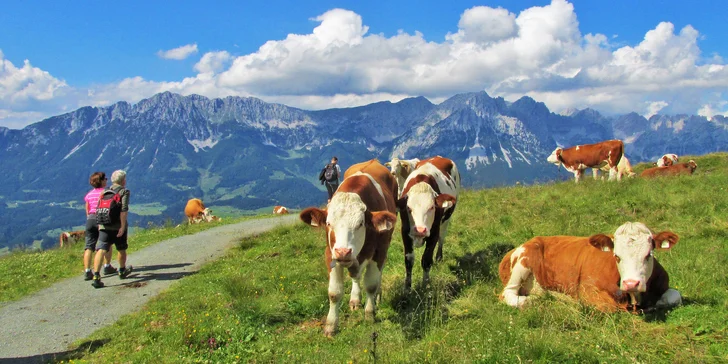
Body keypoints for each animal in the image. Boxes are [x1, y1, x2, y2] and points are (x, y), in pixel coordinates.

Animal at [298, 159, 396, 338]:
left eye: (361, 223)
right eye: (328, 223)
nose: (343, 252)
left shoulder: (380, 249)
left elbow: (371, 284)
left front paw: (370, 314)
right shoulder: (330, 254)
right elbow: (334, 293)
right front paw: (331, 326)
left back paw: (377, 296)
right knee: (355, 275)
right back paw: (355, 299)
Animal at [398, 156, 460, 290]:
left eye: (432, 207)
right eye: (408, 208)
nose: (420, 230)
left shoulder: (434, 233)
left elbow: (426, 260)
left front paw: (425, 285)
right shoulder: (405, 232)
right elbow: (409, 260)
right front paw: (407, 287)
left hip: (446, 220)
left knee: (442, 238)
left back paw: (439, 257)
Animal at [500, 222, 684, 312]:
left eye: (648, 255)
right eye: (616, 256)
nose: (631, 283)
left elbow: (675, 297)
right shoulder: (587, 289)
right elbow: (609, 307)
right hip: (524, 261)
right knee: (508, 294)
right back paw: (529, 301)